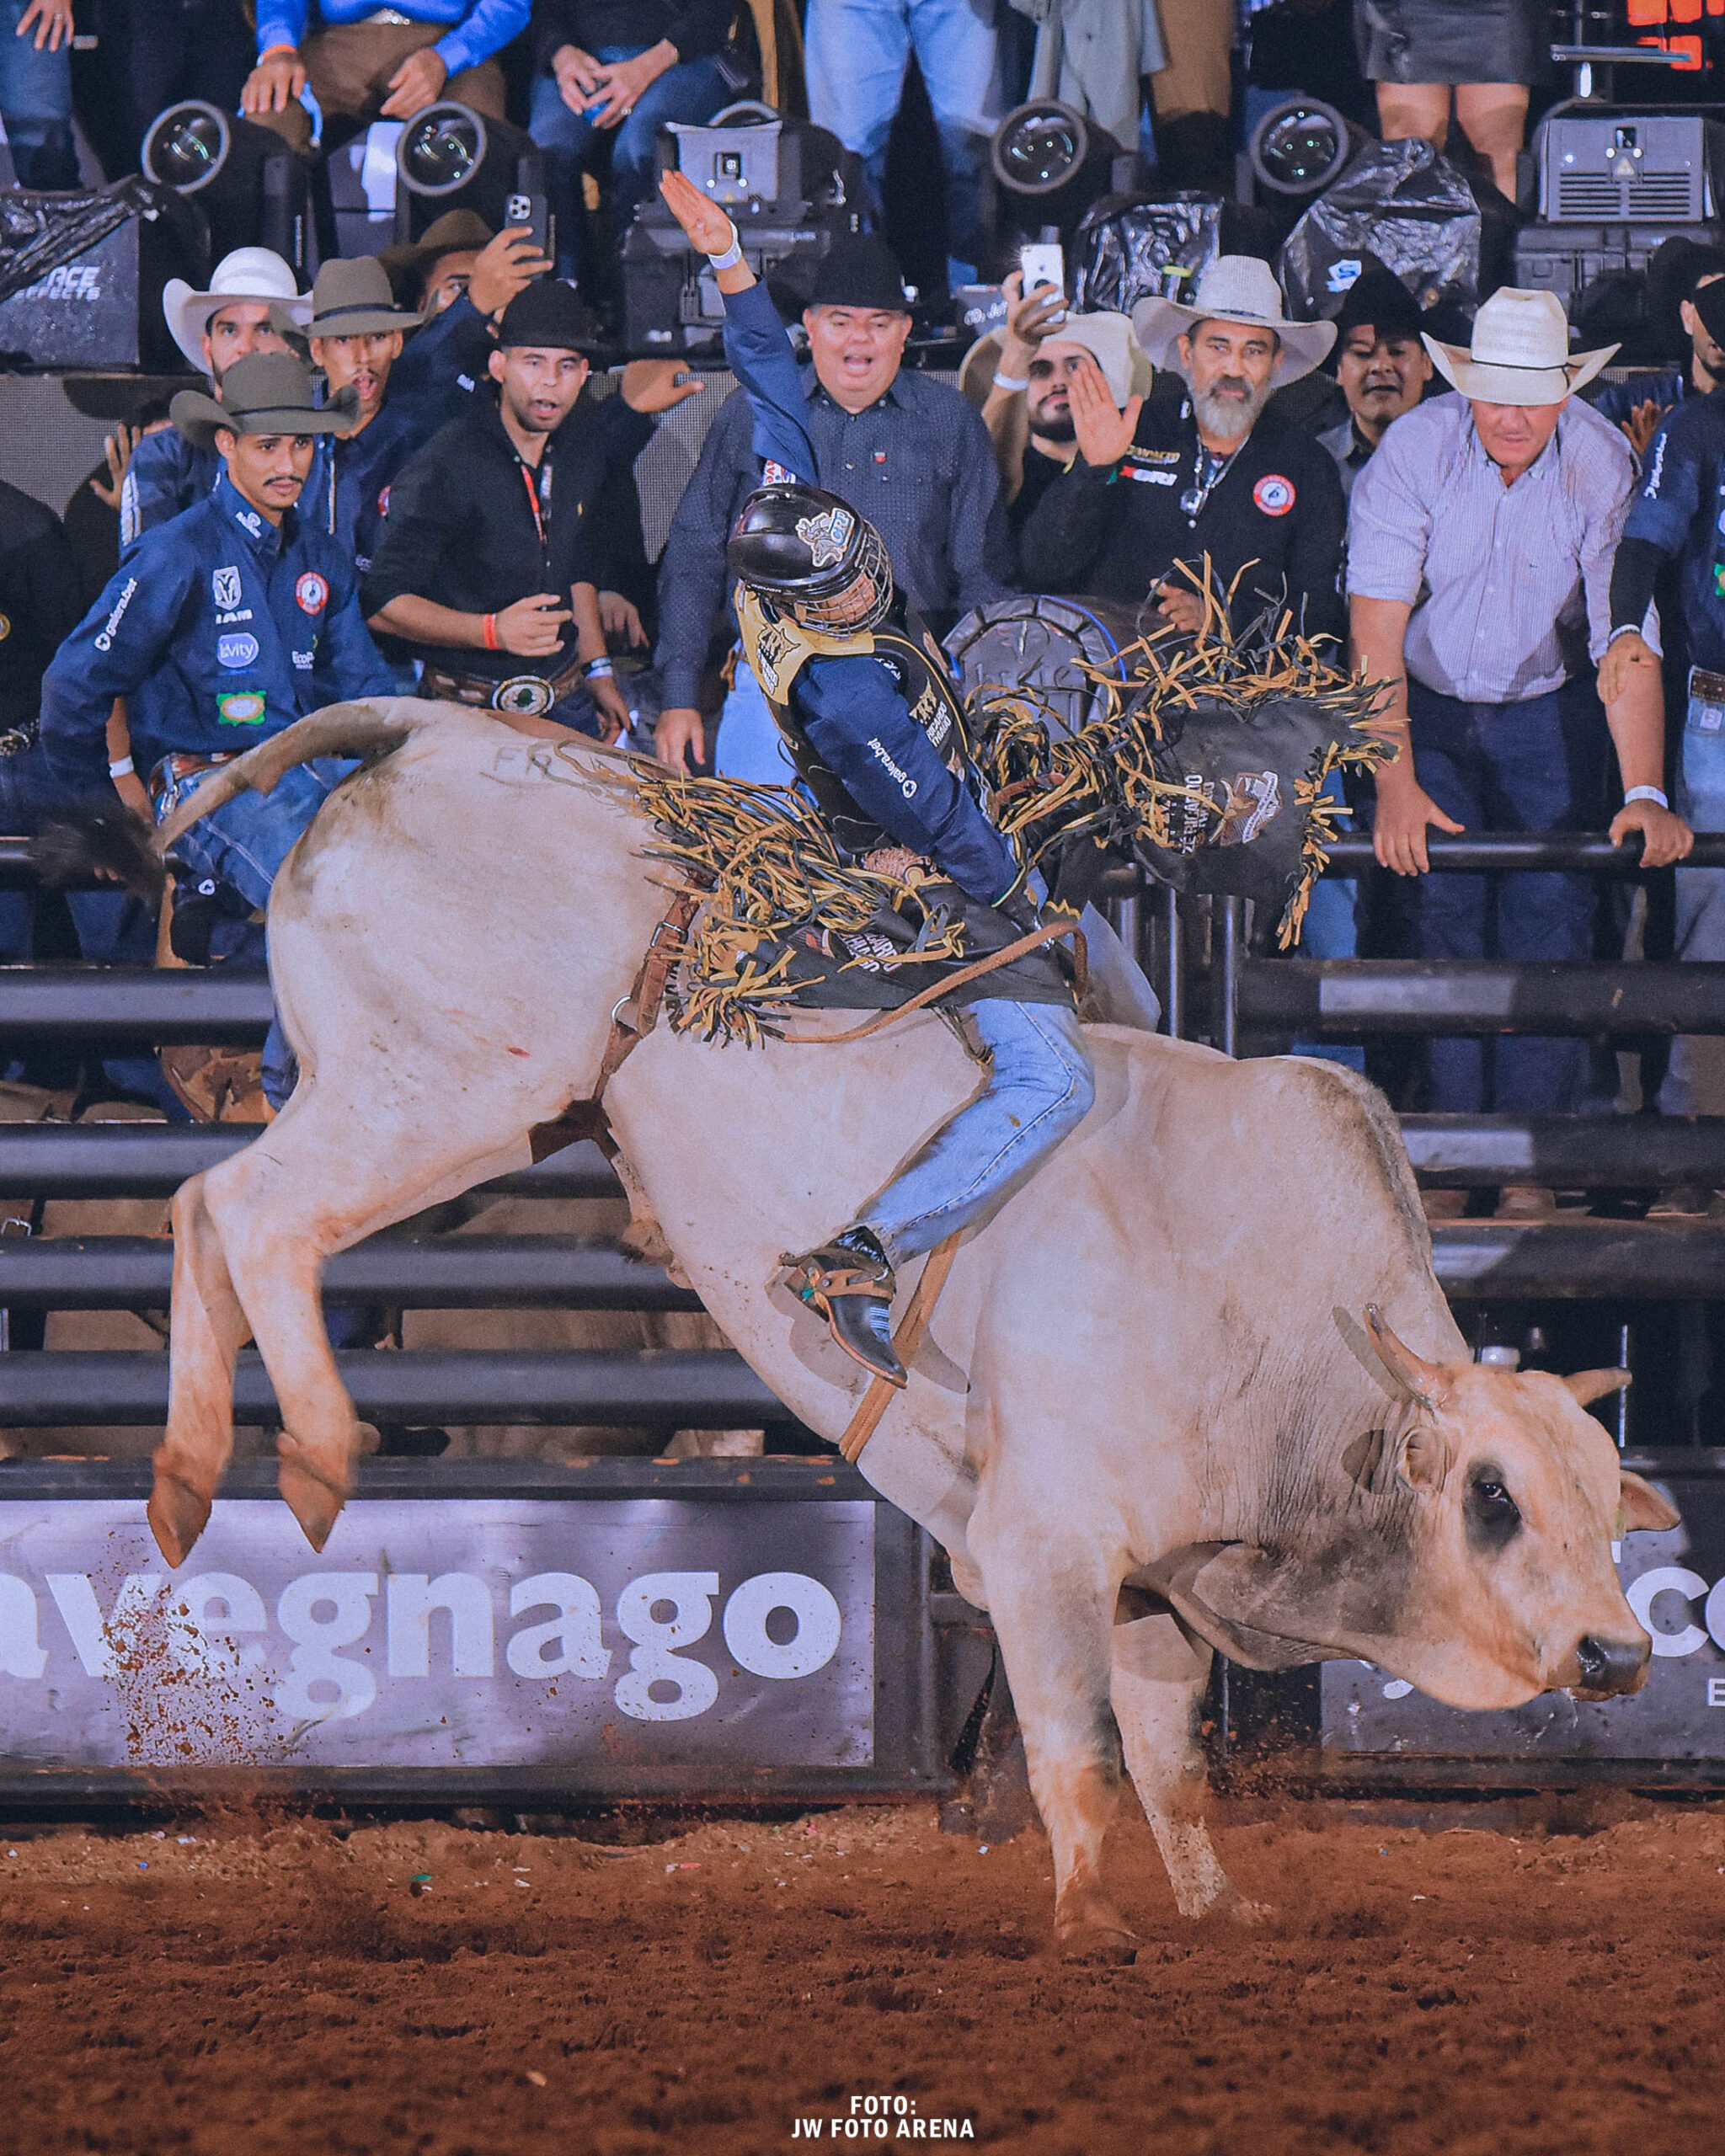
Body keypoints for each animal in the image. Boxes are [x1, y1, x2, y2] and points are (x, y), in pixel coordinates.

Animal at [135, 698, 1673, 1966]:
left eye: (1608, 1503)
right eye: (1491, 1496)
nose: (1617, 1654)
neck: (1270, 1322)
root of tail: (435, 730)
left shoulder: (1151, 1581)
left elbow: (1168, 1761)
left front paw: (1217, 1909)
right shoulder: (1044, 1544)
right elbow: (1076, 1749)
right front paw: (1091, 1920)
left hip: (434, 1104)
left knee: (204, 1209)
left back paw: (186, 1484)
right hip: (436, 1092)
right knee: (254, 1214)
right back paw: (314, 1458)